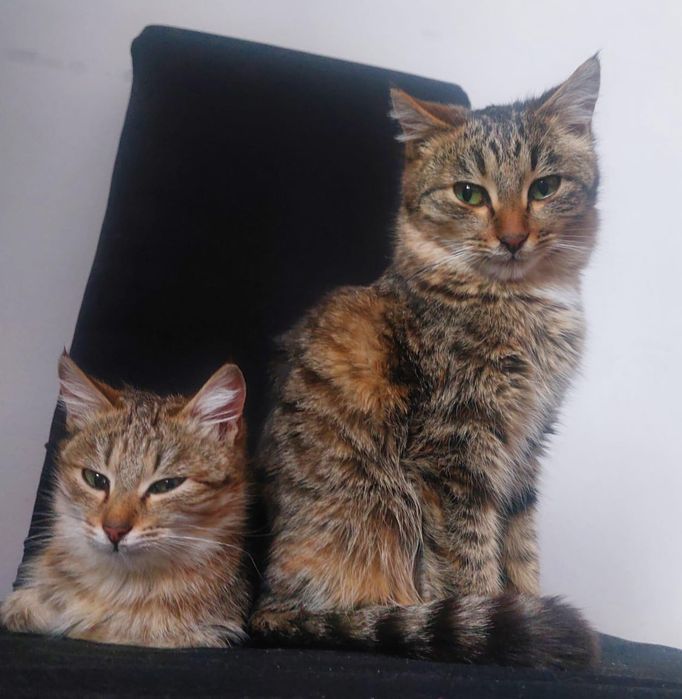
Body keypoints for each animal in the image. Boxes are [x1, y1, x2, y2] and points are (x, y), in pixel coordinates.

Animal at [1, 353, 250, 648]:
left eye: (167, 485)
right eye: (95, 479)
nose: (114, 531)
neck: (117, 584)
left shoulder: (209, 631)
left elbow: (98, 627)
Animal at [250, 57, 601, 668]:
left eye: (545, 187)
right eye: (469, 194)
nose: (513, 238)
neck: (520, 302)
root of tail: (270, 604)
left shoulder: (528, 442)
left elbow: (521, 544)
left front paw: (527, 606)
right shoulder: (454, 448)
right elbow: (469, 557)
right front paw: (494, 621)